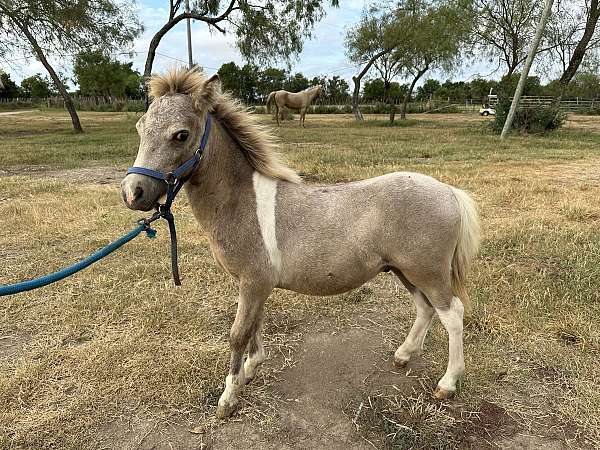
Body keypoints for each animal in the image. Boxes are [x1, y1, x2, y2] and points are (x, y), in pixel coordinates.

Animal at [119, 67, 480, 418]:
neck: (241, 202)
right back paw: (403, 355)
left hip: (428, 272)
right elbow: (254, 325)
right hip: (405, 271)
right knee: (425, 308)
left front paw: (229, 398)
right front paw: (251, 369)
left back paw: (447, 384)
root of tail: (449, 191)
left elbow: (238, 334)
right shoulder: (253, 286)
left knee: (452, 314)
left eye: (181, 134)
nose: (133, 192)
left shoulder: (253, 282)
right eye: (140, 127)